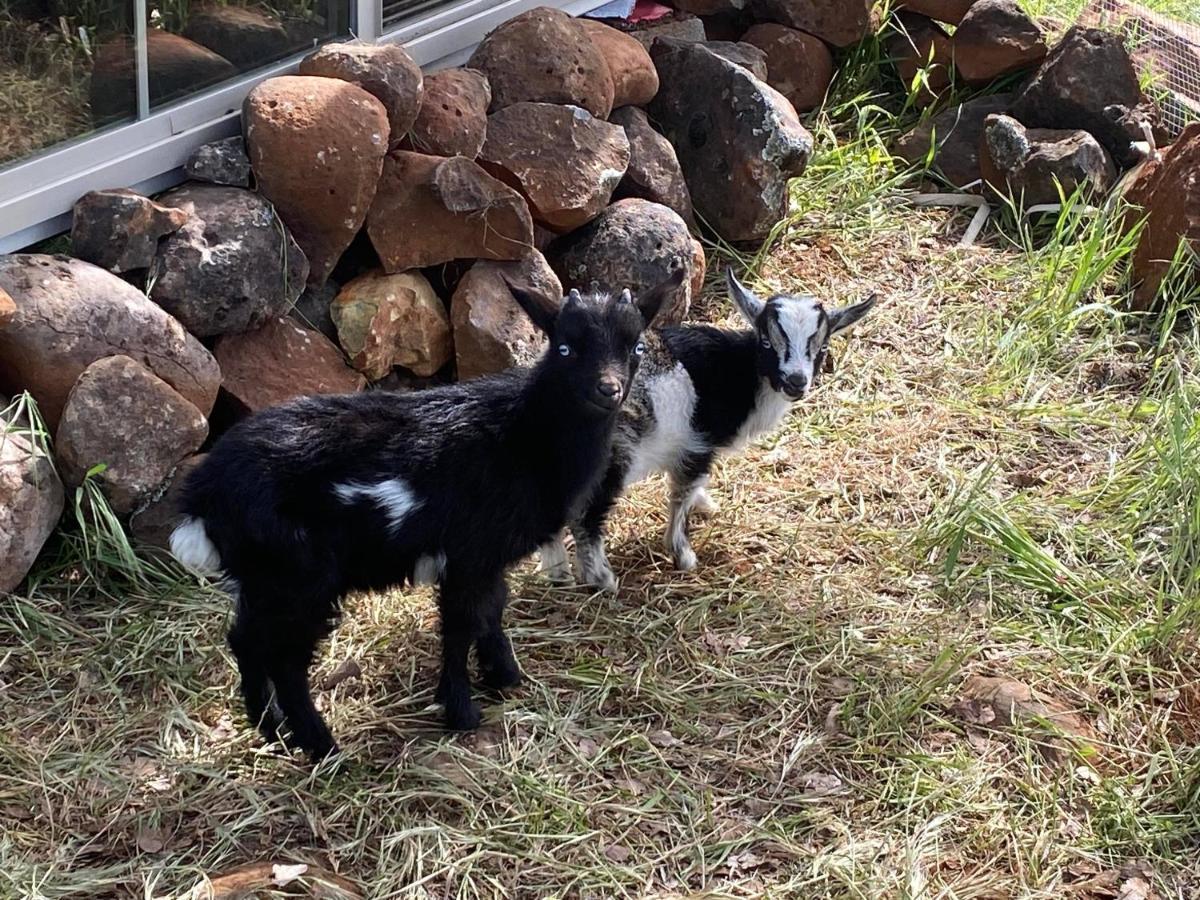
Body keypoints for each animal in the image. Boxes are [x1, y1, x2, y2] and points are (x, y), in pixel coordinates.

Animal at [168, 274, 681, 763]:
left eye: (636, 347)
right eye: (564, 347)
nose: (609, 389)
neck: (522, 435)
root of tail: (205, 491)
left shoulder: (486, 558)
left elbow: (492, 611)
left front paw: (504, 676)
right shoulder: (468, 553)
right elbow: (460, 625)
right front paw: (461, 712)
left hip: (261, 576)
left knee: (245, 640)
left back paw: (270, 729)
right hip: (298, 574)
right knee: (286, 660)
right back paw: (323, 748)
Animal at [540, 267, 878, 592]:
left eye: (822, 347)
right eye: (767, 342)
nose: (796, 381)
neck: (741, 371)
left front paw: (705, 505)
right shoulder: (699, 443)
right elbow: (683, 492)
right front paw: (683, 554)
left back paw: (558, 573)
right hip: (613, 455)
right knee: (587, 516)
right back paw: (601, 579)